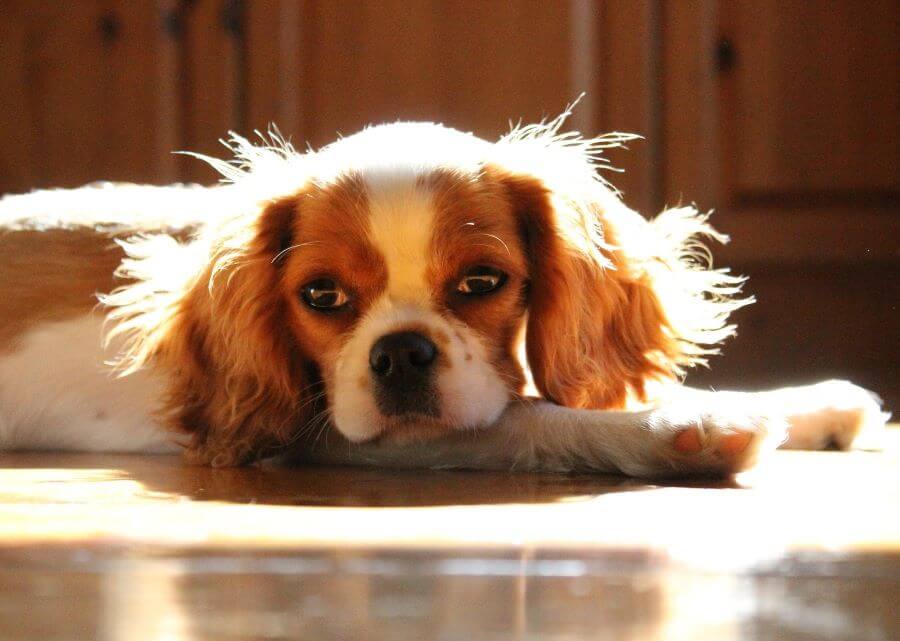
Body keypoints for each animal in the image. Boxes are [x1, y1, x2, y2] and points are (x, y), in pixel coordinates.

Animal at [0, 114, 884, 476]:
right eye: (321, 294)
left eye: (482, 282)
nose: (400, 354)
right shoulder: (322, 431)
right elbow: (533, 419)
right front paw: (680, 429)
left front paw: (814, 405)